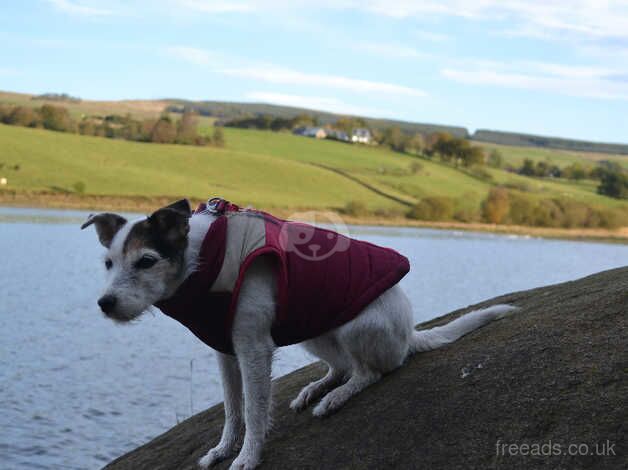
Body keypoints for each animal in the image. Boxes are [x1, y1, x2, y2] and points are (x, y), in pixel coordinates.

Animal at [81, 199, 516, 470]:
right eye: (108, 262)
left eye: (146, 261)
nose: (105, 303)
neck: (201, 261)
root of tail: (410, 333)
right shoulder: (226, 352)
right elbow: (232, 410)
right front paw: (223, 449)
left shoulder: (253, 348)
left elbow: (254, 411)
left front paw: (247, 457)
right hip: (315, 329)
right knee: (342, 366)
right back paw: (316, 388)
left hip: (357, 326)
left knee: (373, 371)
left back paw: (337, 397)